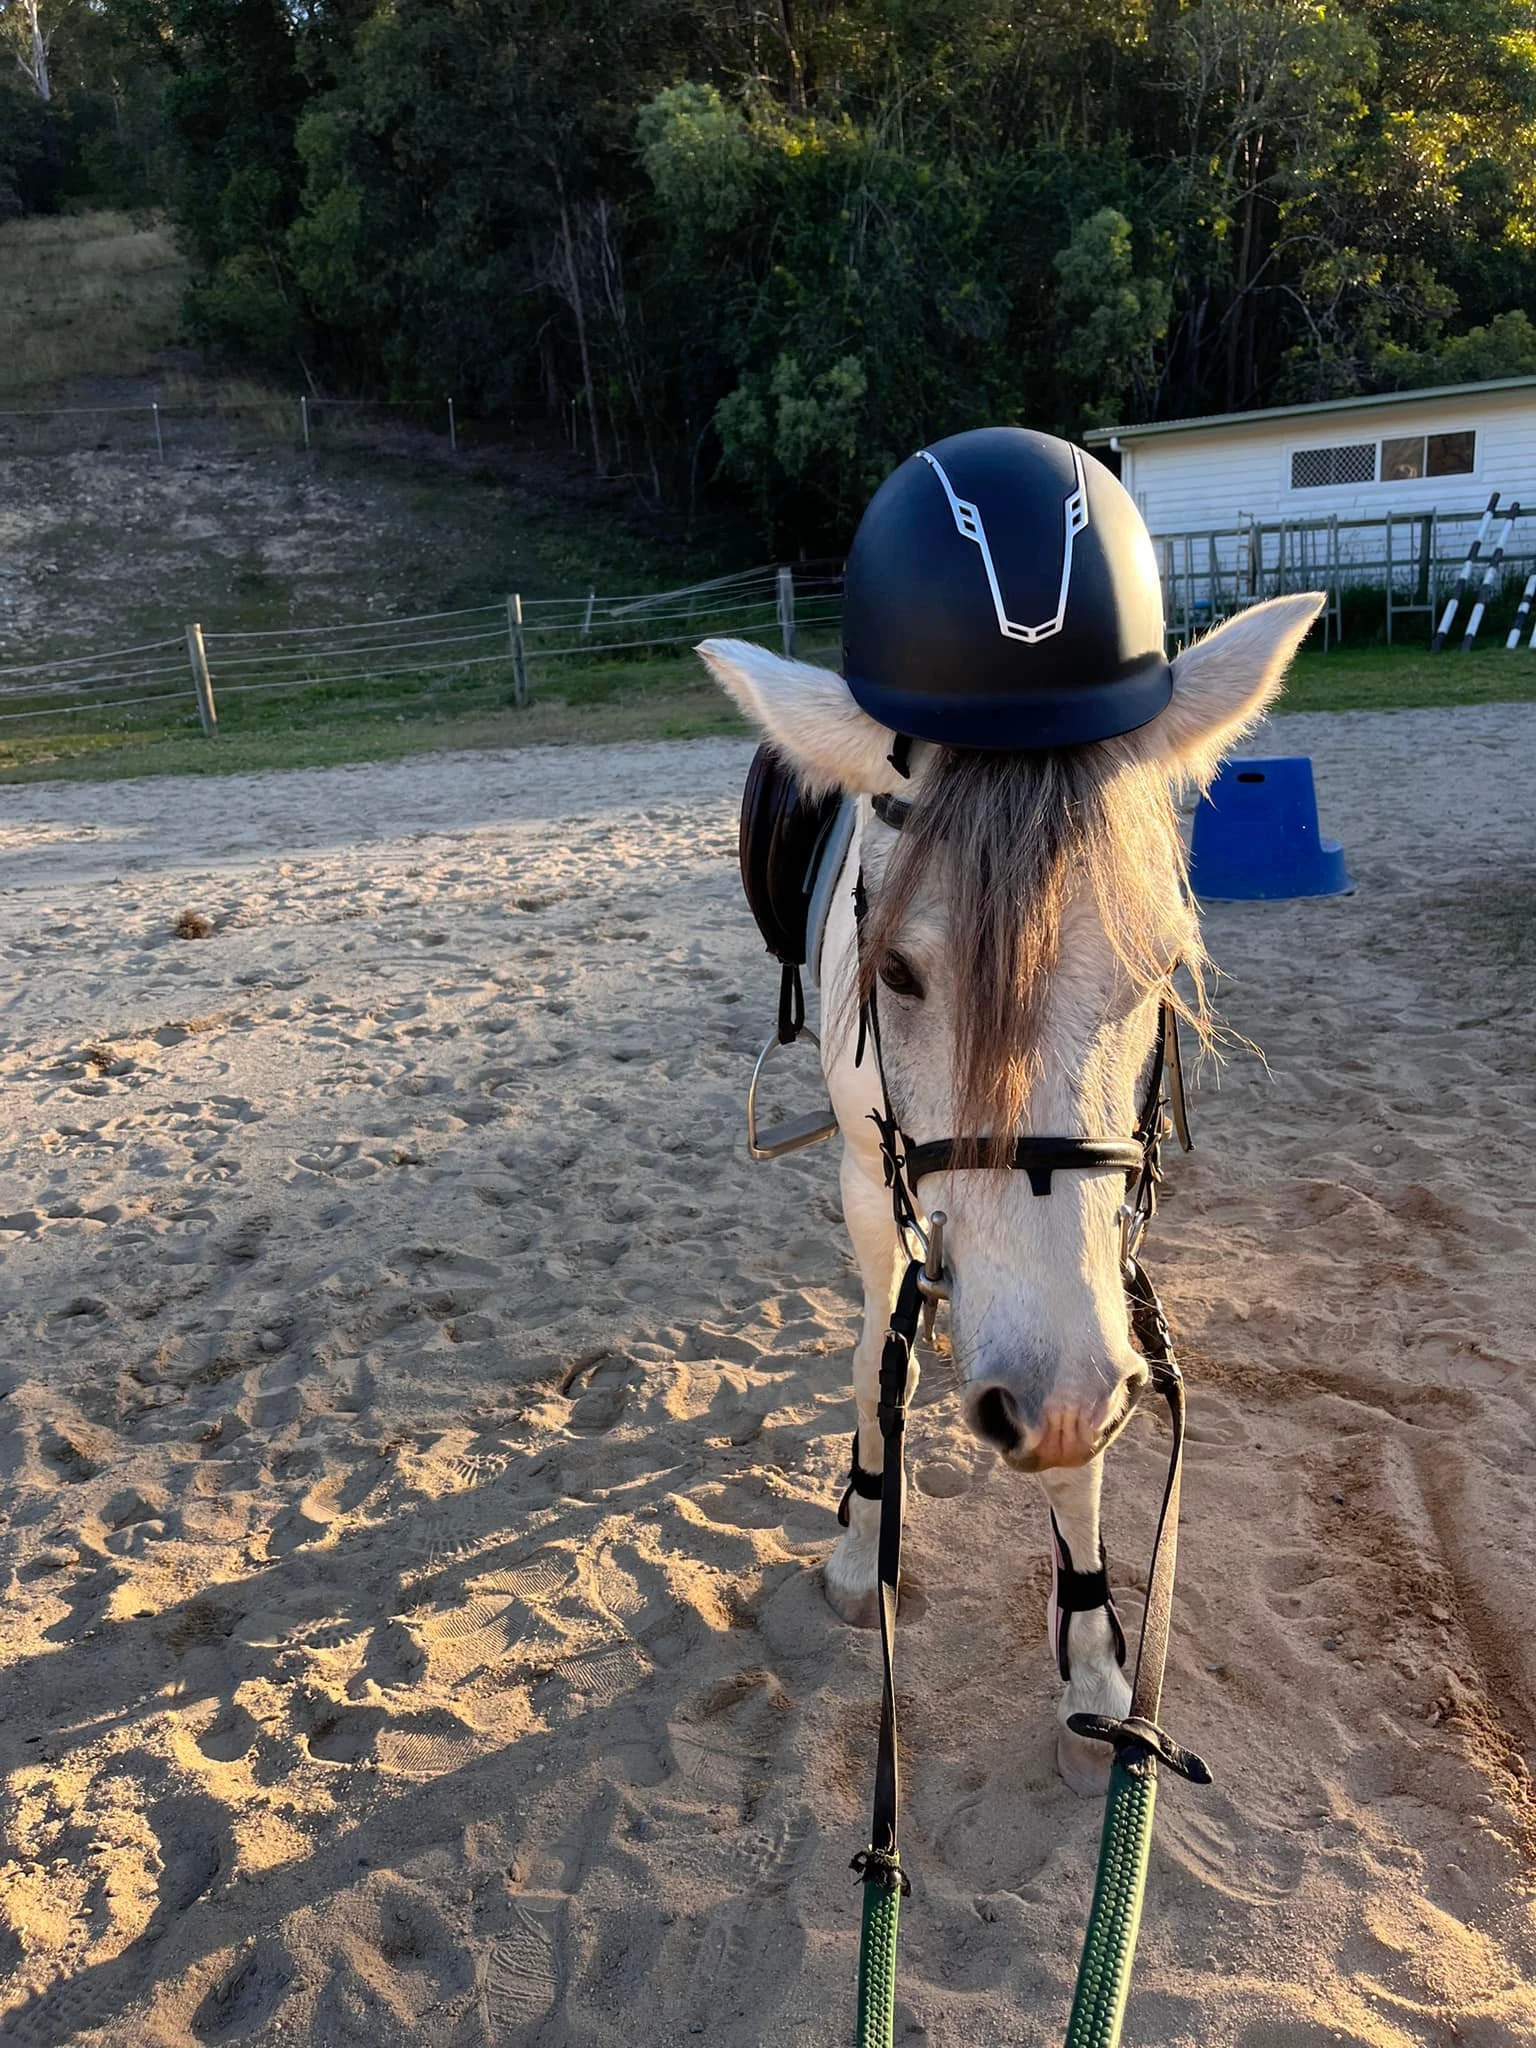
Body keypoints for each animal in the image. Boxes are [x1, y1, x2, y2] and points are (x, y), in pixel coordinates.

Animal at [698, 590, 1323, 1793]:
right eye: (896, 971)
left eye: (1160, 959)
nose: (1044, 1392)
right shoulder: (871, 1178)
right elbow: (874, 1369)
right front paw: (864, 1541)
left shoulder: (1103, 1267)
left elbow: (1081, 1456)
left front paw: (1095, 1670)